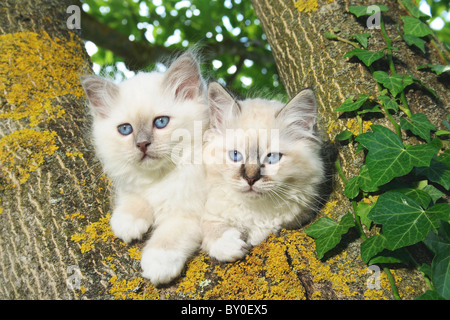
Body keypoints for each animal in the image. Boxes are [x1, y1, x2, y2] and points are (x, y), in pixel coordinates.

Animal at [81, 52, 209, 284]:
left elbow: (169, 236)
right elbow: (134, 199)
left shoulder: (191, 212)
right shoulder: (133, 186)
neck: (159, 177)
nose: (142, 144)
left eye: (161, 122)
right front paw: (127, 222)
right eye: (125, 129)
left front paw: (158, 264)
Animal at [201, 82, 324, 262]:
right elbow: (211, 226)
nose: (250, 179)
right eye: (235, 155)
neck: (256, 211)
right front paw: (229, 245)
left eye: (272, 158)